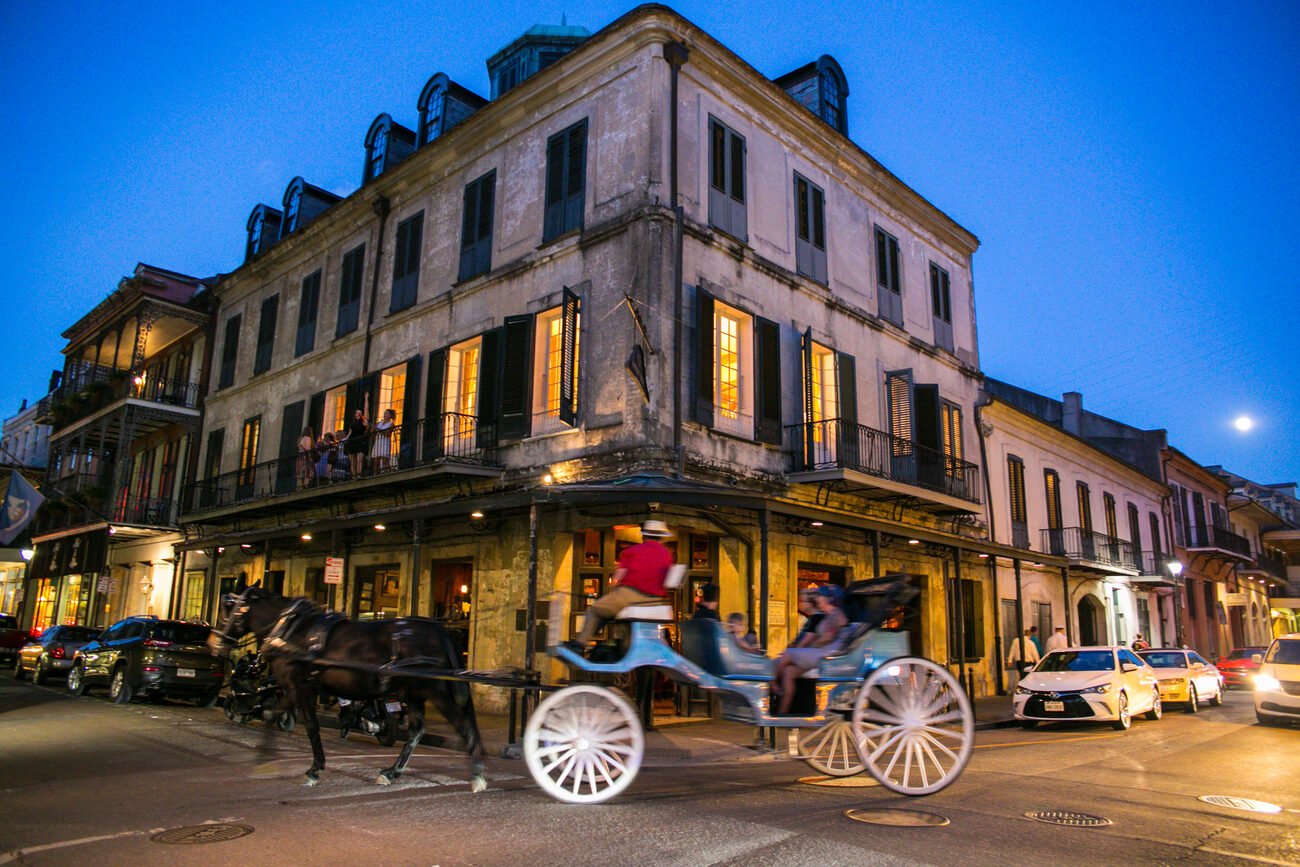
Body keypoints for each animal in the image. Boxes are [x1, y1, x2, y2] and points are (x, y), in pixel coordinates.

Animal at [213, 587, 488, 790]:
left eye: (228, 607)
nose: (215, 642)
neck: (291, 629)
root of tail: (439, 631)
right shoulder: (300, 687)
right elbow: (281, 716)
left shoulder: (297, 686)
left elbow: (303, 724)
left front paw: (306, 767)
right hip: (415, 692)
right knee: (416, 730)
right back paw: (392, 772)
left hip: (434, 690)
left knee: (462, 725)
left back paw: (477, 774)